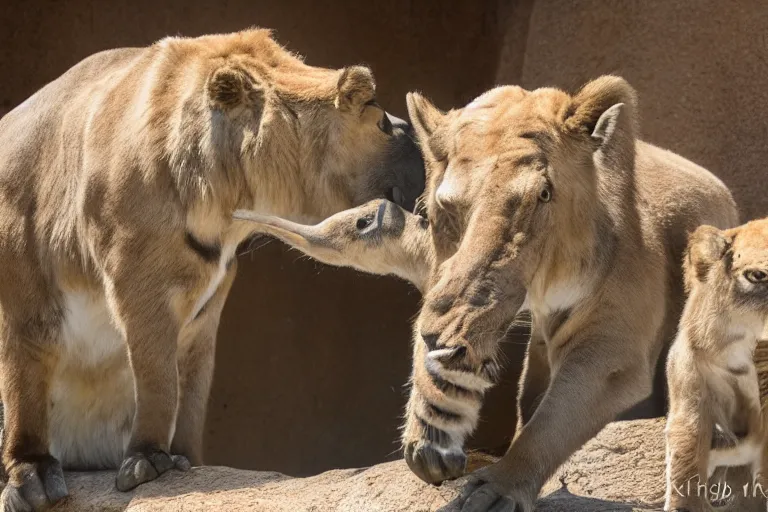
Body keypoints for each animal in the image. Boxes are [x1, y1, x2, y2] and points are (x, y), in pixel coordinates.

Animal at [0, 29, 424, 512]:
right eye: (379, 119)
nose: (409, 131)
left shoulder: (207, 299)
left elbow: (189, 385)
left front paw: (177, 457)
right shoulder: (123, 280)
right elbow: (153, 374)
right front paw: (146, 459)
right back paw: (33, 475)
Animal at [396, 77, 736, 512]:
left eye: (542, 194)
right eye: (446, 205)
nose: (456, 338)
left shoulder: (612, 347)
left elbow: (553, 421)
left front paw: (495, 490)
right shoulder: (445, 276)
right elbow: (430, 324)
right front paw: (432, 421)